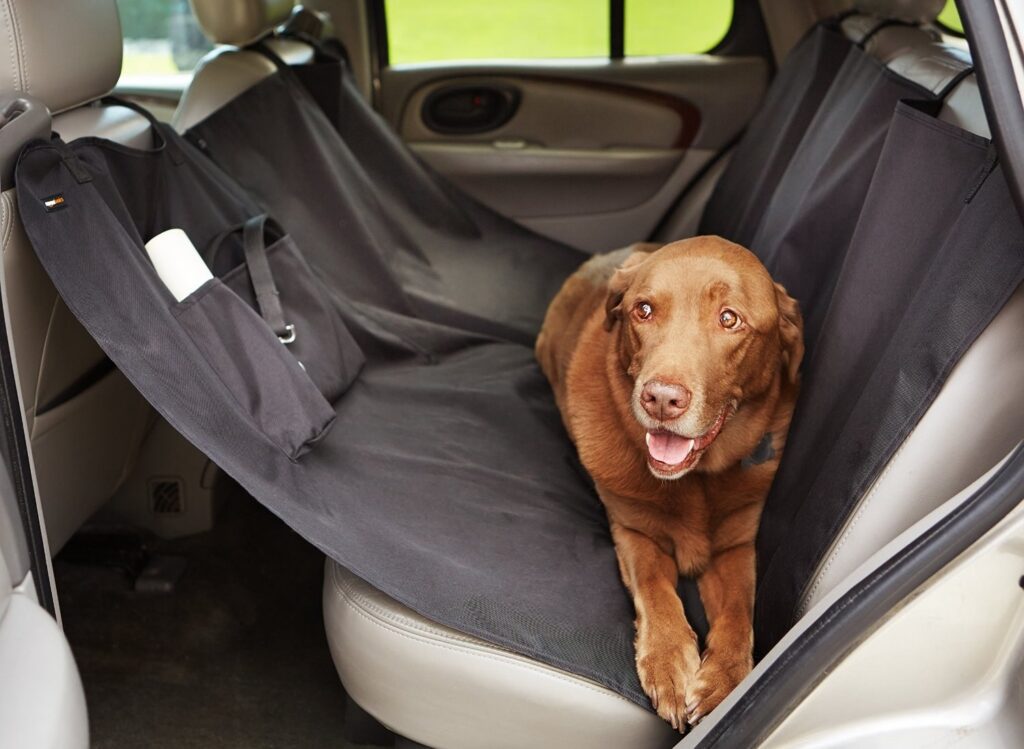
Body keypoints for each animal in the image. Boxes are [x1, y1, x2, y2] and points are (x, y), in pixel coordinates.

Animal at [536, 237, 798, 729]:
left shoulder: (736, 546)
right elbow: (655, 586)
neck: (695, 481)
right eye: (643, 310)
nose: (660, 399)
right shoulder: (632, 531)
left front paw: (724, 679)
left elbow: (739, 610)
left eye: (729, 318)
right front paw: (669, 661)